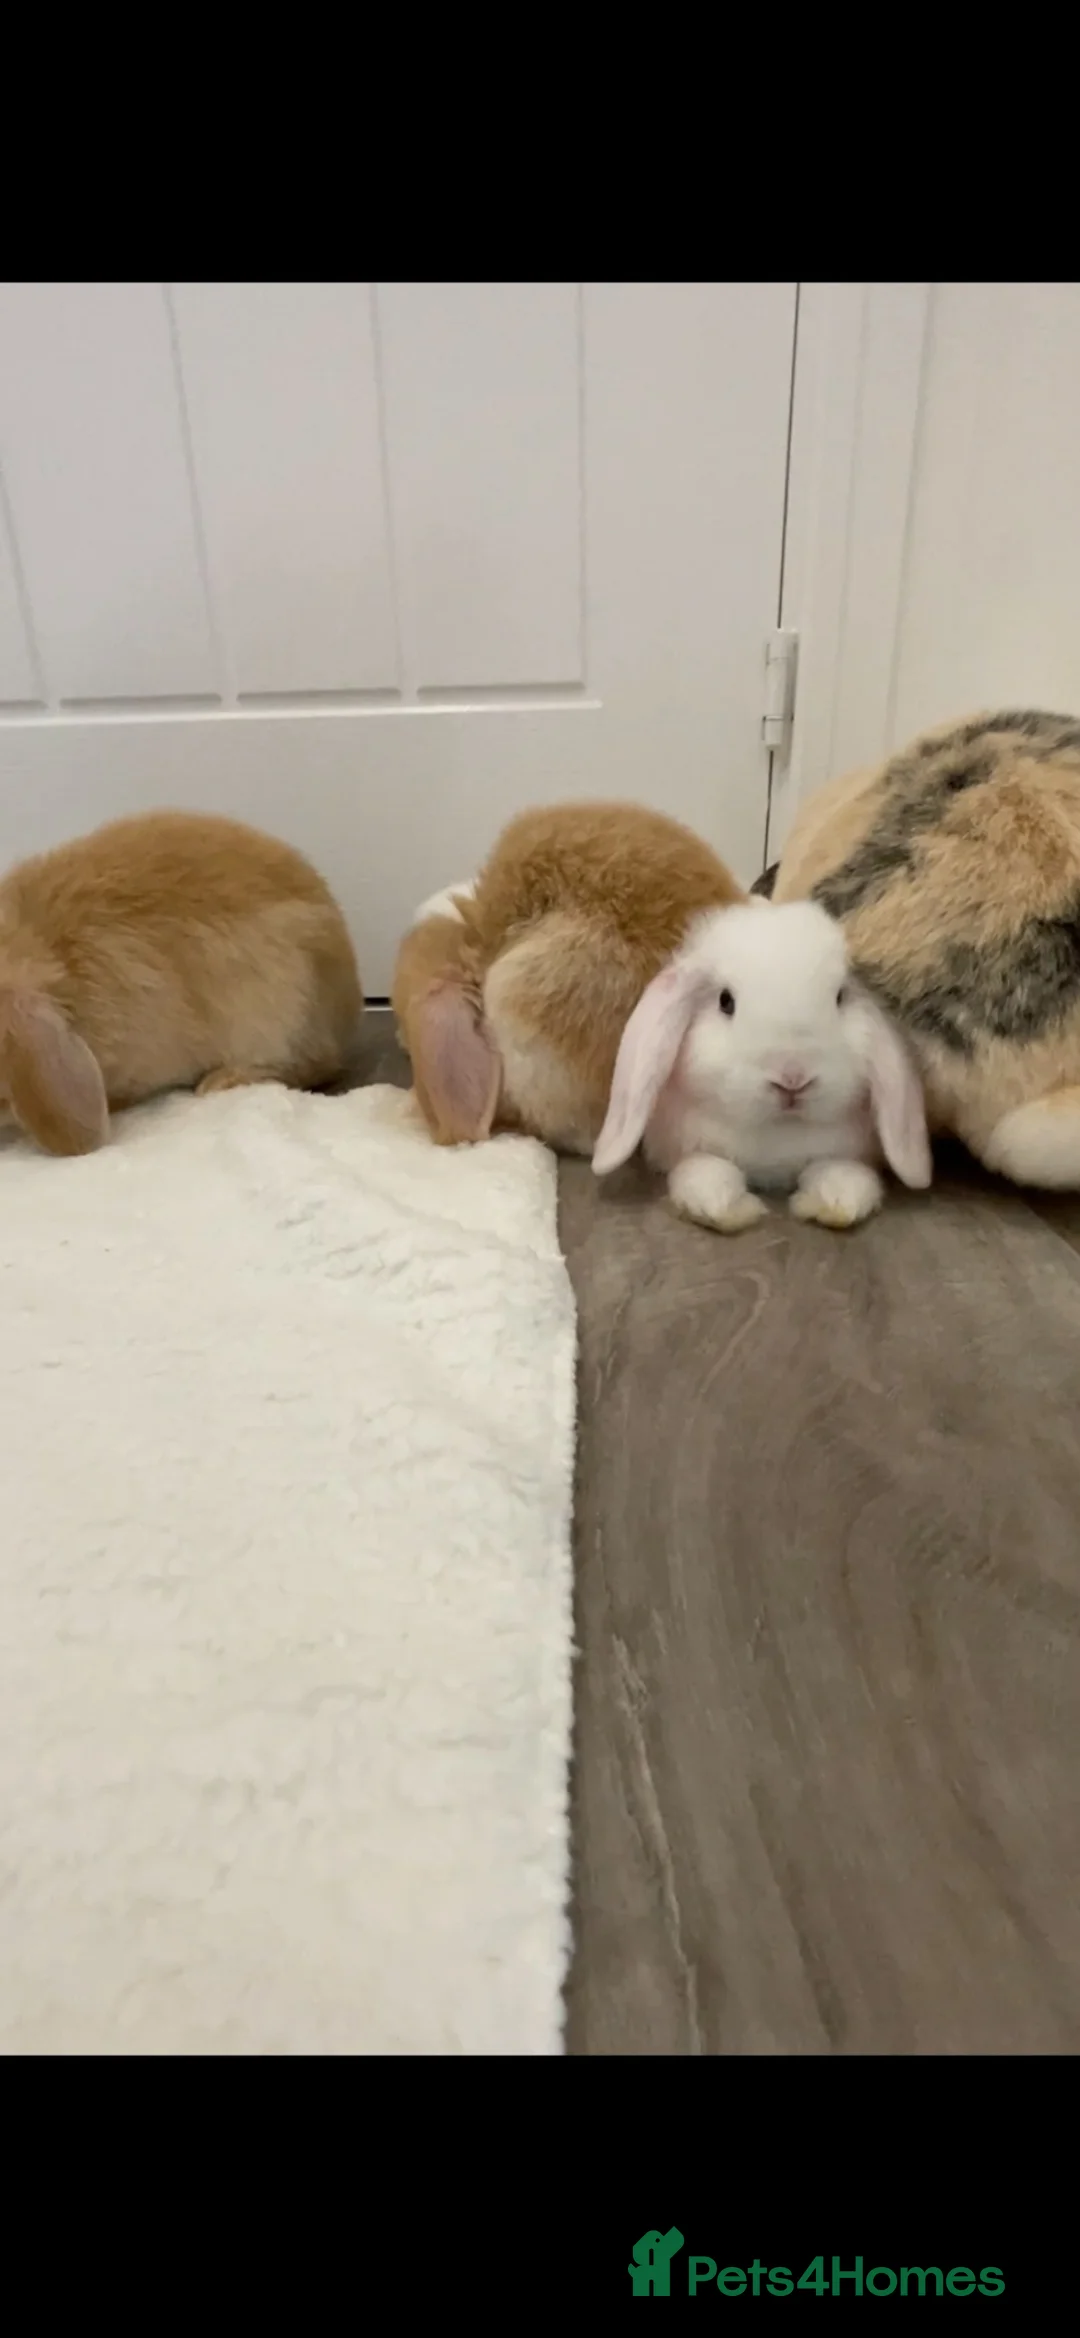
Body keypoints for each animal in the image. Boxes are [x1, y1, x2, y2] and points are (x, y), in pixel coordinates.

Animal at [591, 896, 932, 1231]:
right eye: (725, 1001)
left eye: (839, 997)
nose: (793, 1078)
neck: (777, 1131)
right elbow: (706, 1169)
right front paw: (723, 1208)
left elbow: (839, 1170)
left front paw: (838, 1201)